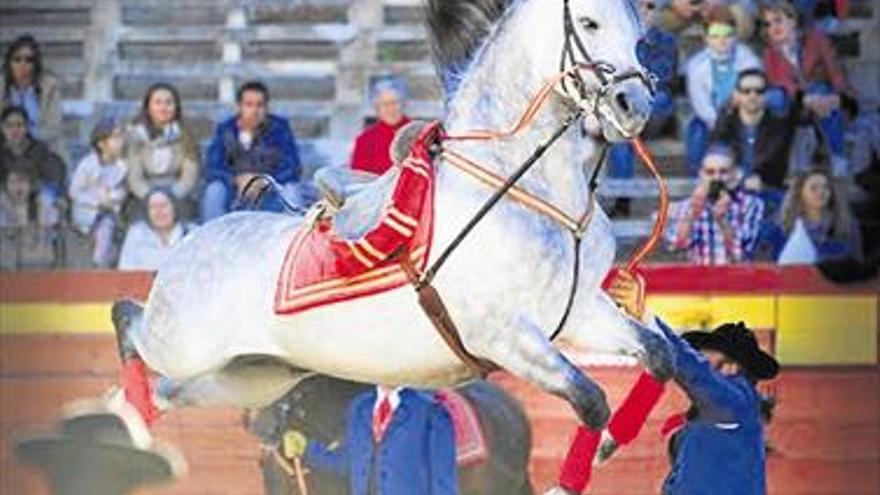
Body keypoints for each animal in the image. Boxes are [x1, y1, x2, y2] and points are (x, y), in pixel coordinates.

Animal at [115, 0, 672, 430]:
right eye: (590, 23)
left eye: (640, 36)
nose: (633, 106)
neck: (533, 195)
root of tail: (192, 238)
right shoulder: (504, 335)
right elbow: (592, 401)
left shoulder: (579, 312)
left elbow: (657, 356)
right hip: (180, 341)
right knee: (127, 319)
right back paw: (127, 402)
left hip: (251, 376)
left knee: (170, 391)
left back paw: (132, 416)